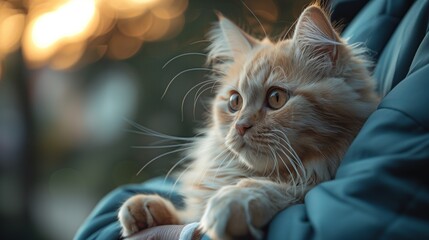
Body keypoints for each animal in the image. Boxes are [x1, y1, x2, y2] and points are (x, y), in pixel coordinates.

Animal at [117, 3, 378, 240]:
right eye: (235, 101)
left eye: (276, 98)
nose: (241, 126)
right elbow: (187, 214)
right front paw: (146, 207)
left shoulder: (308, 182)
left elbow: (281, 189)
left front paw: (233, 200)